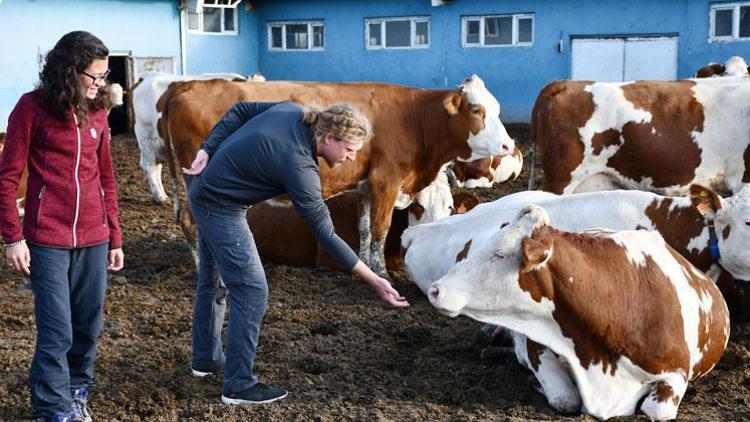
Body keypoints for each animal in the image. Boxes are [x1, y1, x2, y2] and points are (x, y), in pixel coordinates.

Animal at [156, 74, 516, 276]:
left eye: (497, 108)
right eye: (476, 110)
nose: (508, 144)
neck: (413, 118)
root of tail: (185, 85)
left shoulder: (366, 187)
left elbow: (365, 230)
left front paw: (365, 265)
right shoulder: (386, 181)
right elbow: (381, 229)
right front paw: (382, 272)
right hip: (197, 179)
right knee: (192, 221)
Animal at [432, 204, 732, 418]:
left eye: (500, 254)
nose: (436, 289)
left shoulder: (677, 372)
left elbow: (655, 410)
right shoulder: (538, 347)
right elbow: (564, 398)